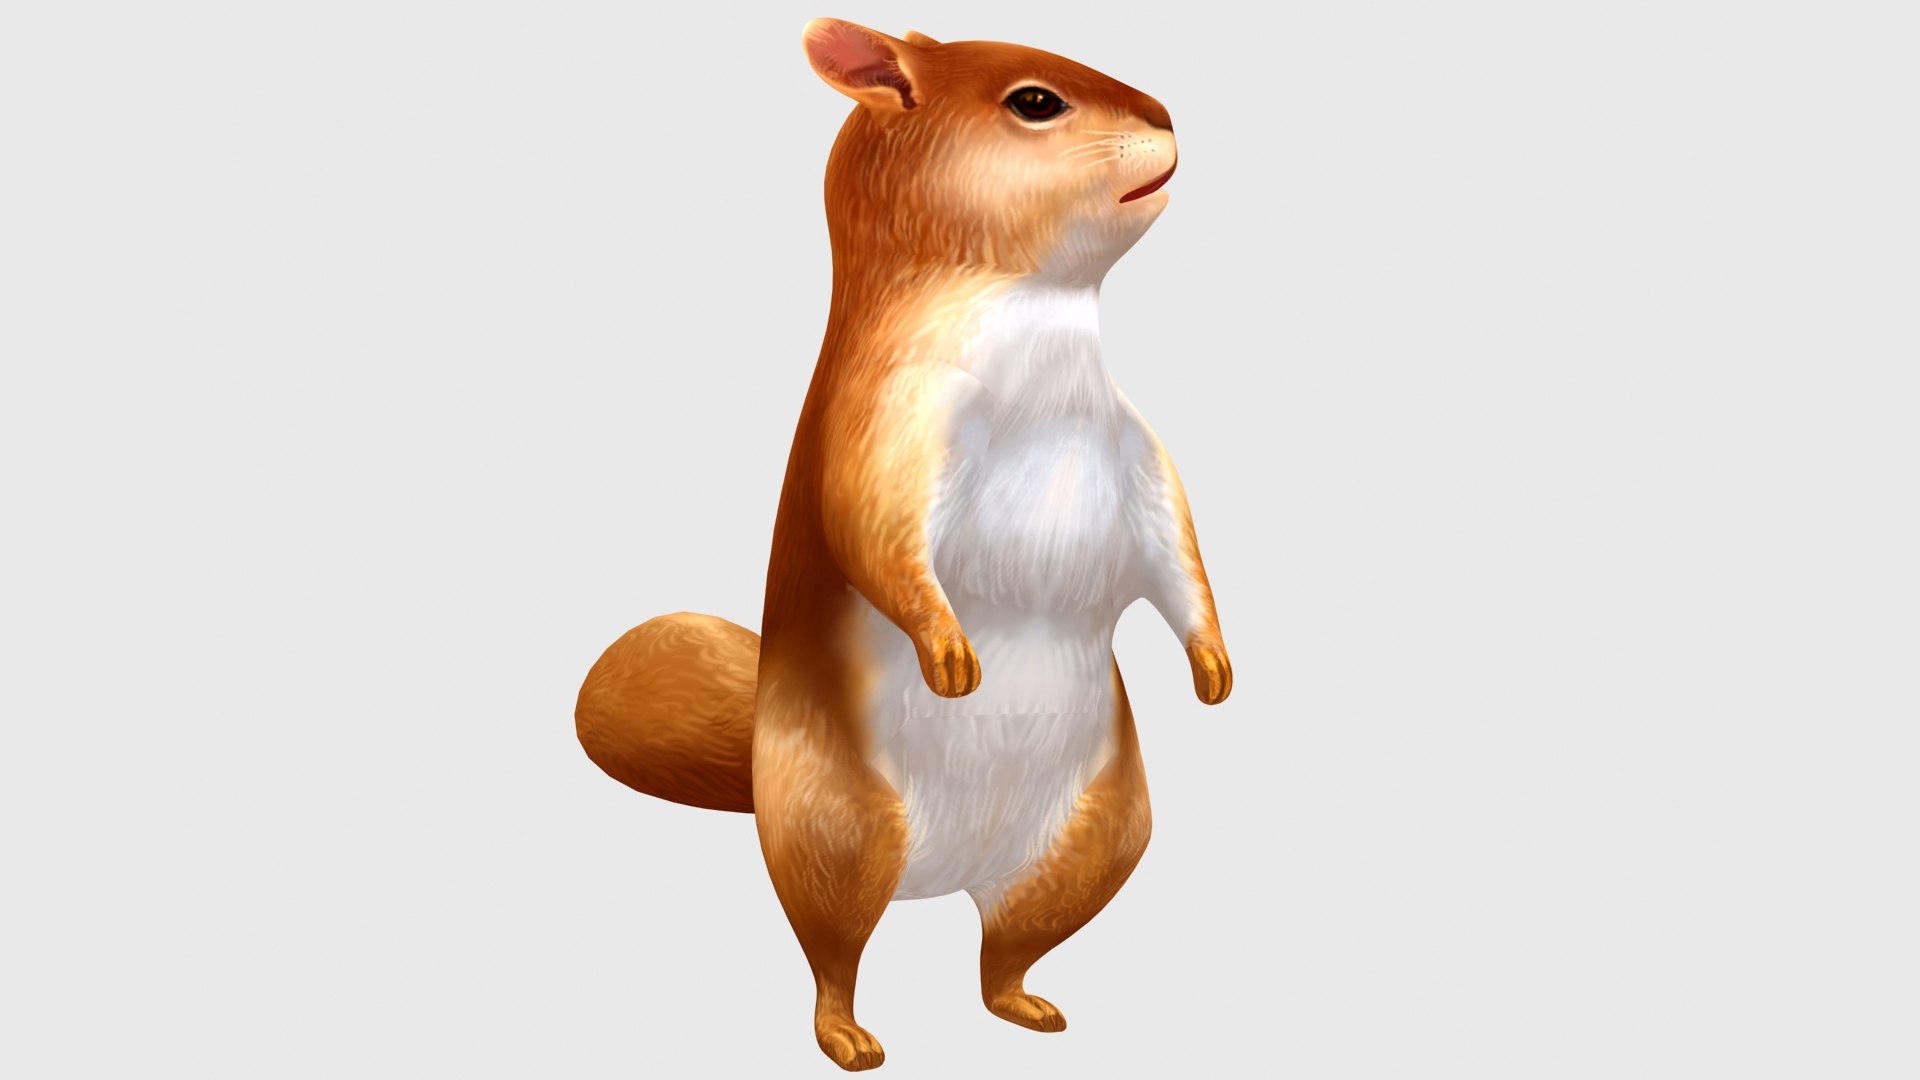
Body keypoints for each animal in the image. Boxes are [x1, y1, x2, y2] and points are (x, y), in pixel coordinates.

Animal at [576, 18, 1231, 1072]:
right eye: (1035, 101)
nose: (1168, 116)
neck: (1036, 319)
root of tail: (946, 873)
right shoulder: (886, 421)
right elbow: (877, 534)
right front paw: (950, 654)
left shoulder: (1137, 446)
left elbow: (1178, 547)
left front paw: (1214, 668)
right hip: (839, 828)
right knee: (832, 955)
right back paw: (847, 1036)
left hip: (1101, 837)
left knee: (1004, 951)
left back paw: (1027, 1007)